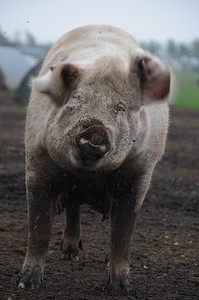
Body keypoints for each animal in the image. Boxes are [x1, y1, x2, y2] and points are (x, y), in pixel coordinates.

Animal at [18, 25, 169, 290]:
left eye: (120, 107)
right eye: (77, 98)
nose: (96, 128)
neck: (89, 176)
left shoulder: (140, 175)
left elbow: (123, 232)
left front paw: (119, 288)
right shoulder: (36, 163)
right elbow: (39, 227)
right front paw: (27, 284)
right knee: (72, 209)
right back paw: (70, 254)